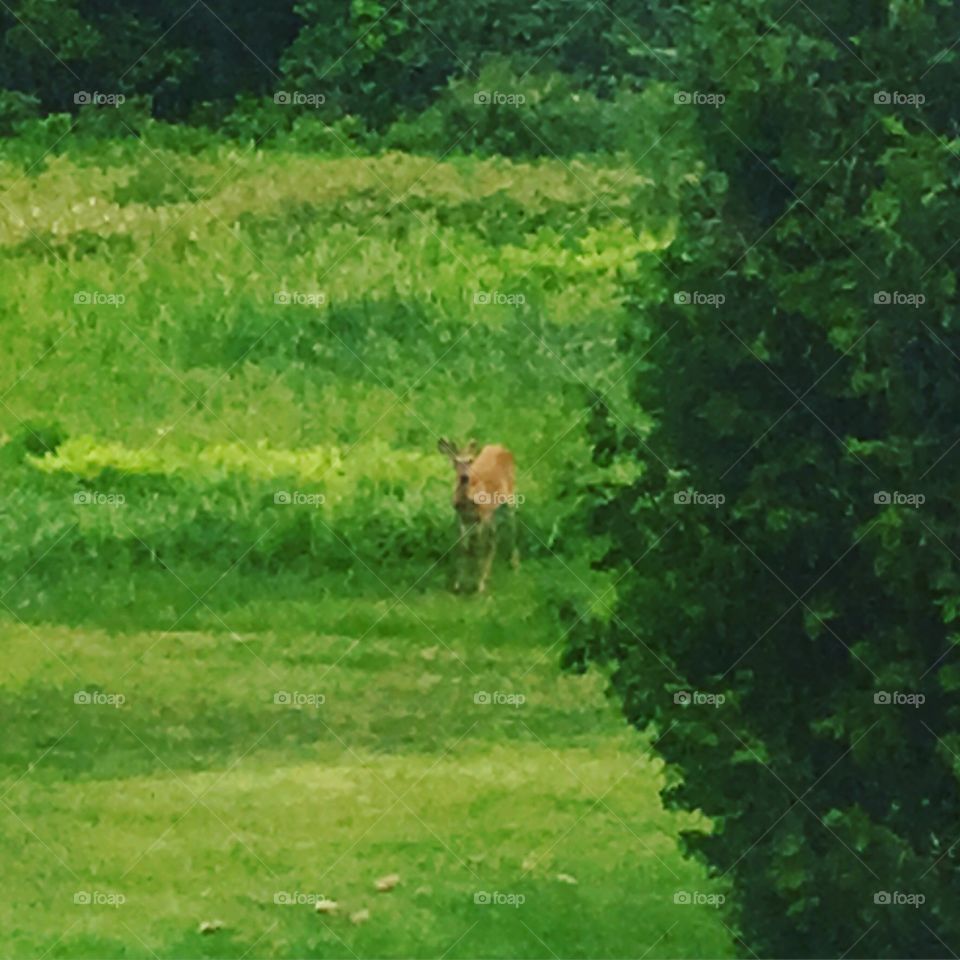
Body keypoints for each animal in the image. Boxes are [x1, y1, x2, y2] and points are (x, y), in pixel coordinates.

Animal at [437, 438, 519, 593]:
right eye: (455, 461)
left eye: (470, 460)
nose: (464, 477)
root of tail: (501, 447)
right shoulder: (462, 519)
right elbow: (464, 548)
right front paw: (458, 584)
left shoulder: (483, 517)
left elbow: (479, 548)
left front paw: (478, 585)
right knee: (494, 538)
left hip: (511, 497)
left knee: (511, 528)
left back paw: (514, 564)